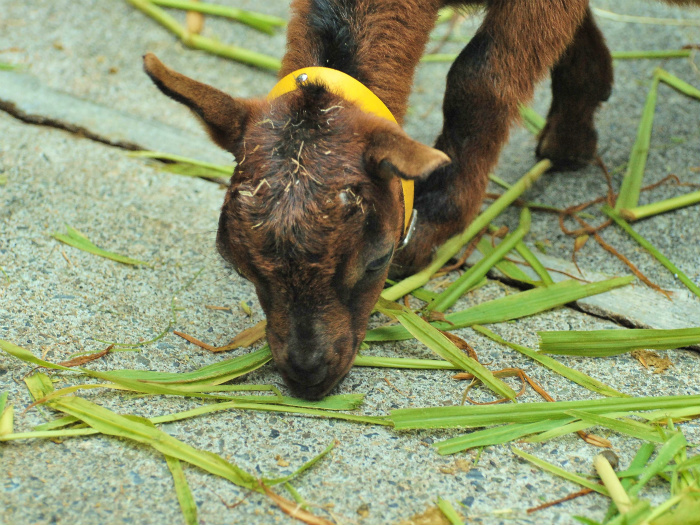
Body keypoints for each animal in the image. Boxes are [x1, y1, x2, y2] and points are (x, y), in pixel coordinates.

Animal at [144, 0, 700, 398]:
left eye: (377, 261)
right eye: (239, 266)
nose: (307, 376)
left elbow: (478, 77)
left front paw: (437, 219)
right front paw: (574, 130)